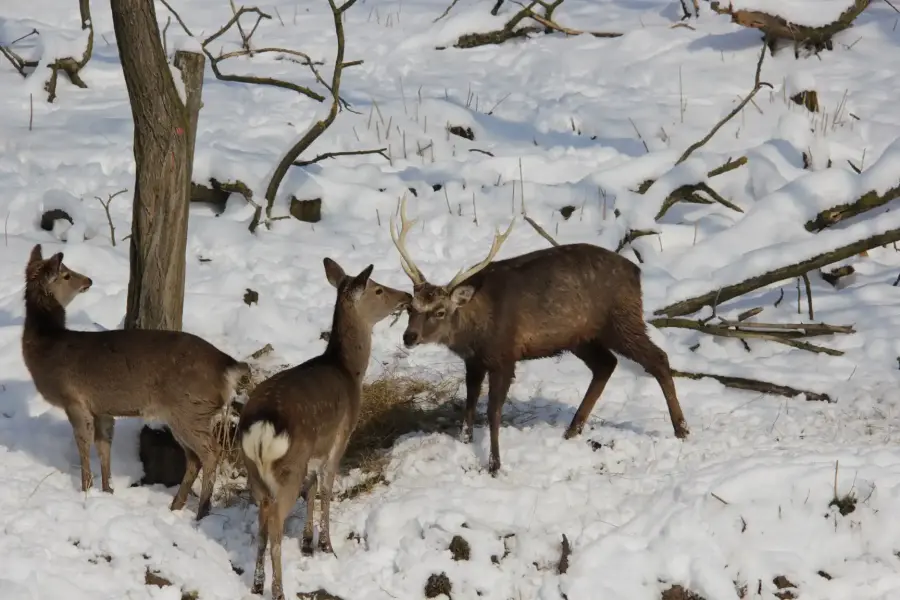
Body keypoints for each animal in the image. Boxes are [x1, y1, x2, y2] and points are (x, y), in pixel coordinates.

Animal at [20, 245, 250, 520]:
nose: (88, 280)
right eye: (66, 274)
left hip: (191, 408)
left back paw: (202, 510)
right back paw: (176, 505)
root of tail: (229, 366)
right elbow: (104, 446)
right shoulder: (101, 408)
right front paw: (107, 490)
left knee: (211, 452)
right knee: (194, 458)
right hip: (186, 413)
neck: (47, 348)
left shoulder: (73, 399)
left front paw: (86, 488)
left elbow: (83, 444)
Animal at [237, 256, 410, 600]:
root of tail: (261, 426)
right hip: (287, 466)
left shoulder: (315, 450)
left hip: (255, 472)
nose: (407, 296)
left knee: (263, 519)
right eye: (378, 289)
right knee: (274, 525)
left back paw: (258, 583)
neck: (348, 370)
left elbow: (312, 487)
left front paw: (307, 544)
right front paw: (327, 546)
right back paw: (279, 590)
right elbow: (327, 488)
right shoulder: (341, 435)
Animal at [386, 195, 688, 476]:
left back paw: (681, 429)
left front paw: (495, 465)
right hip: (581, 336)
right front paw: (465, 442)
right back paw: (572, 430)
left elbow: (493, 411)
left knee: (657, 358)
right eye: (411, 307)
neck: (476, 328)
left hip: (621, 319)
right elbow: (469, 403)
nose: (409, 337)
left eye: (439, 311)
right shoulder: (473, 361)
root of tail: (637, 272)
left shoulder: (505, 355)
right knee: (606, 364)